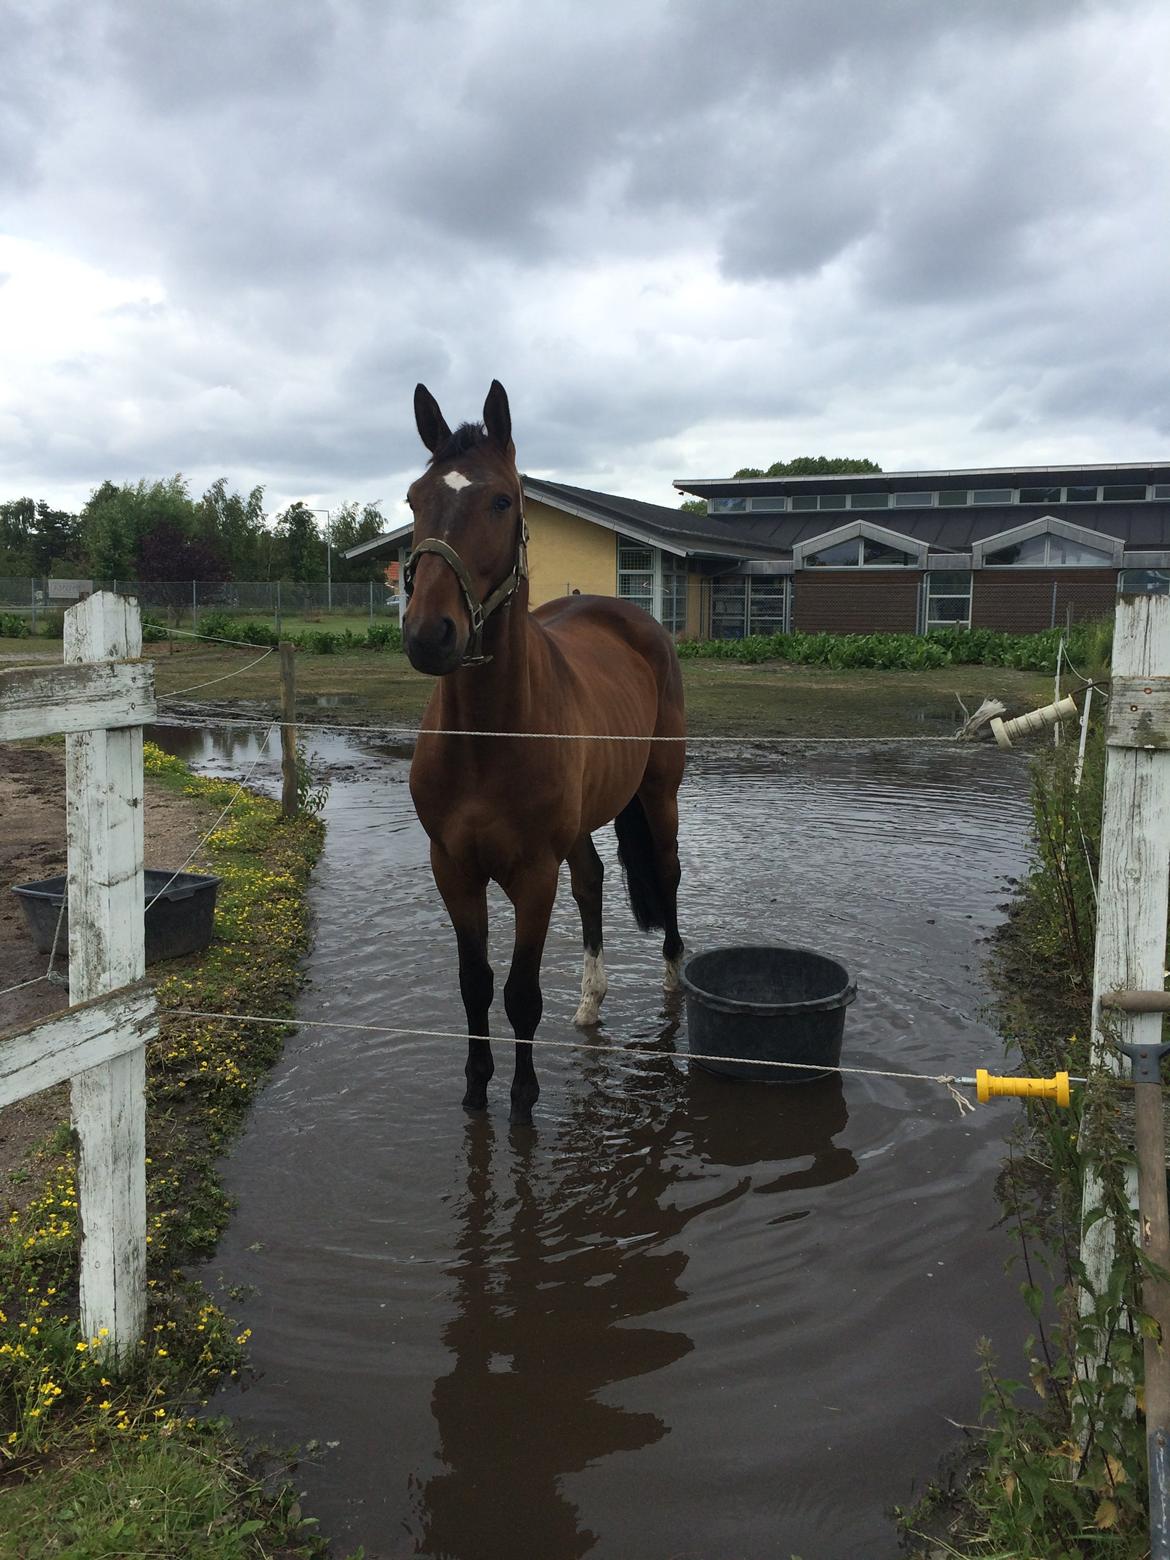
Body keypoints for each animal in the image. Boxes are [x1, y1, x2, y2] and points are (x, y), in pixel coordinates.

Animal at [408, 383, 692, 1129]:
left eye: (502, 501)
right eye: (415, 498)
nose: (428, 634)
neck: (486, 739)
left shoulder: (532, 874)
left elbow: (520, 993)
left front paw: (522, 1099)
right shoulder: (454, 870)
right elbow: (475, 984)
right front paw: (476, 1087)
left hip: (660, 793)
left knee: (669, 874)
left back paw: (674, 978)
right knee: (592, 879)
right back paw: (591, 1001)